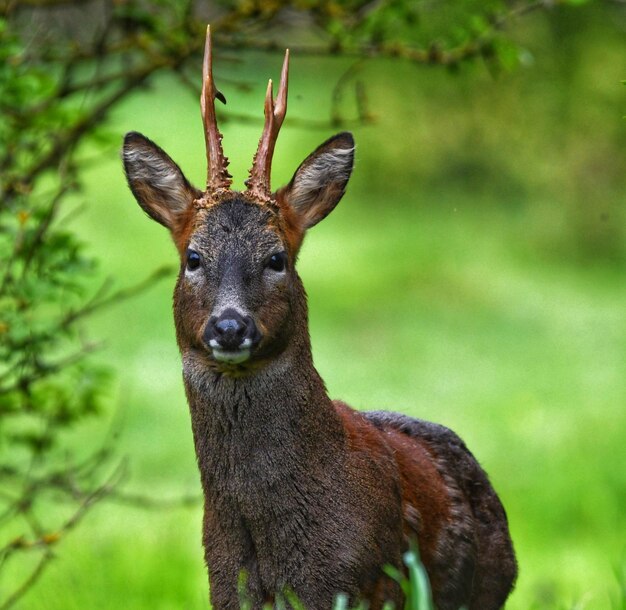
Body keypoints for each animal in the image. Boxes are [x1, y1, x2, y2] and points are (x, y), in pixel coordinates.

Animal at [122, 25, 516, 608]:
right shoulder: (226, 587)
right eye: (193, 258)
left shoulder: (360, 583)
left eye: (276, 258)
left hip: (487, 589)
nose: (230, 327)